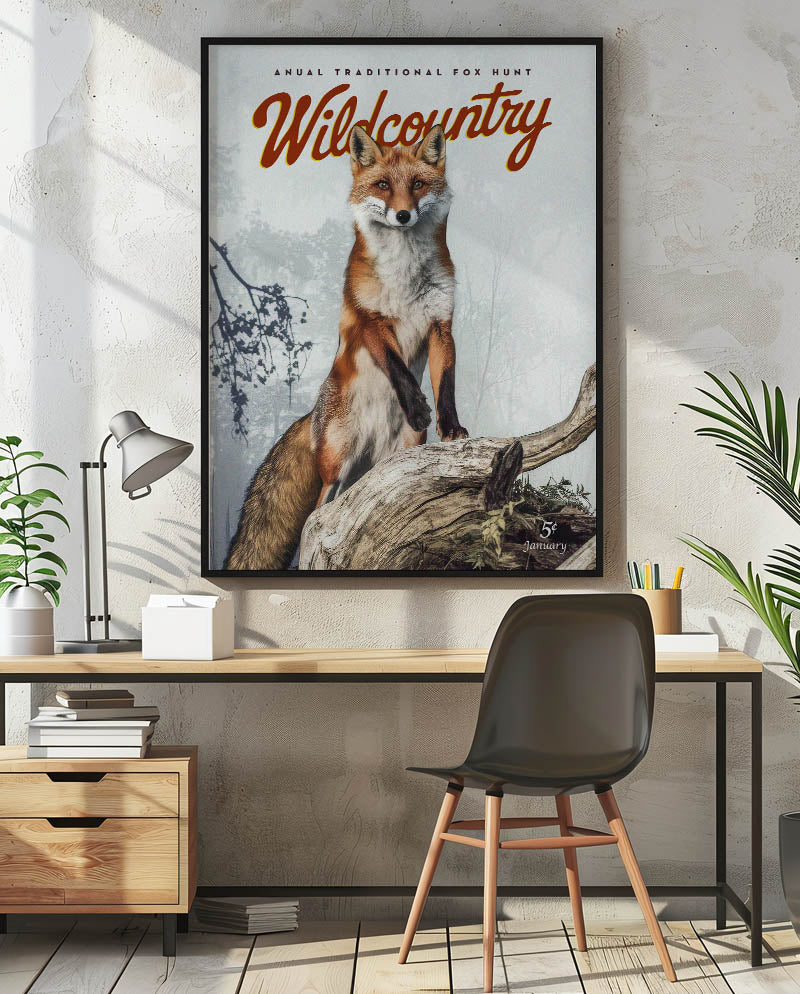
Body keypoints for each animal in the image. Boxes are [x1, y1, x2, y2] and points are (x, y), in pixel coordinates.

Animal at [226, 123, 468, 570]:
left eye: (418, 184)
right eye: (384, 185)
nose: (403, 215)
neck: (405, 278)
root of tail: (312, 415)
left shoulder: (441, 327)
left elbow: (446, 385)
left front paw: (450, 427)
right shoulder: (367, 321)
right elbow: (397, 367)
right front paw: (417, 407)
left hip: (389, 467)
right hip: (335, 470)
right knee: (315, 522)